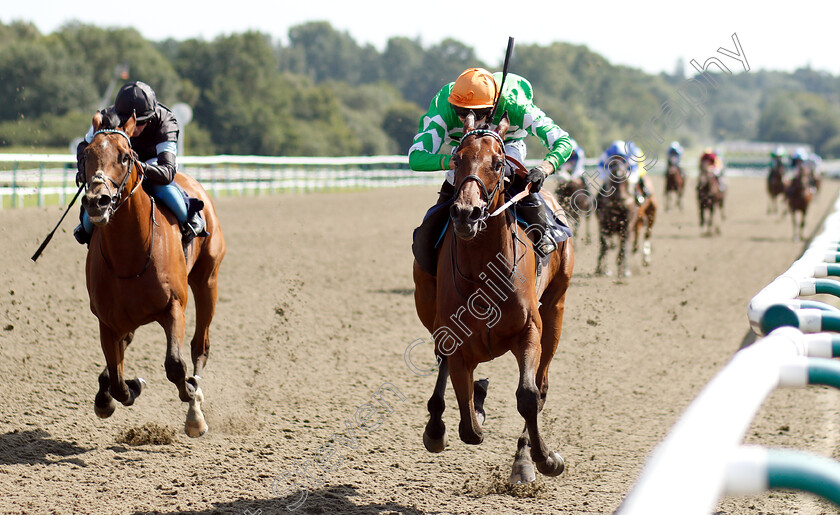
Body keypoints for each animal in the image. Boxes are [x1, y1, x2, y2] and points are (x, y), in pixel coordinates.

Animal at [80, 111, 225, 438]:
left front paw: (192, 401)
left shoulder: (174, 308)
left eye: (124, 156)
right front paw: (124, 389)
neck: (130, 256)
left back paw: (195, 399)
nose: (97, 201)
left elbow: (175, 364)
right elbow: (118, 381)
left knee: (200, 346)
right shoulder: (106, 321)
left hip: (207, 280)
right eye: (86, 154)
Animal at [416, 112, 576, 484]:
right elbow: (468, 422)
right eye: (457, 158)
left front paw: (545, 459)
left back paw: (524, 458)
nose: (466, 213)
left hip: (556, 309)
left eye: (498, 162)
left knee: (541, 385)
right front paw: (473, 403)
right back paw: (440, 423)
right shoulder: (454, 339)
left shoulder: (529, 330)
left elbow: (528, 397)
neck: (482, 272)